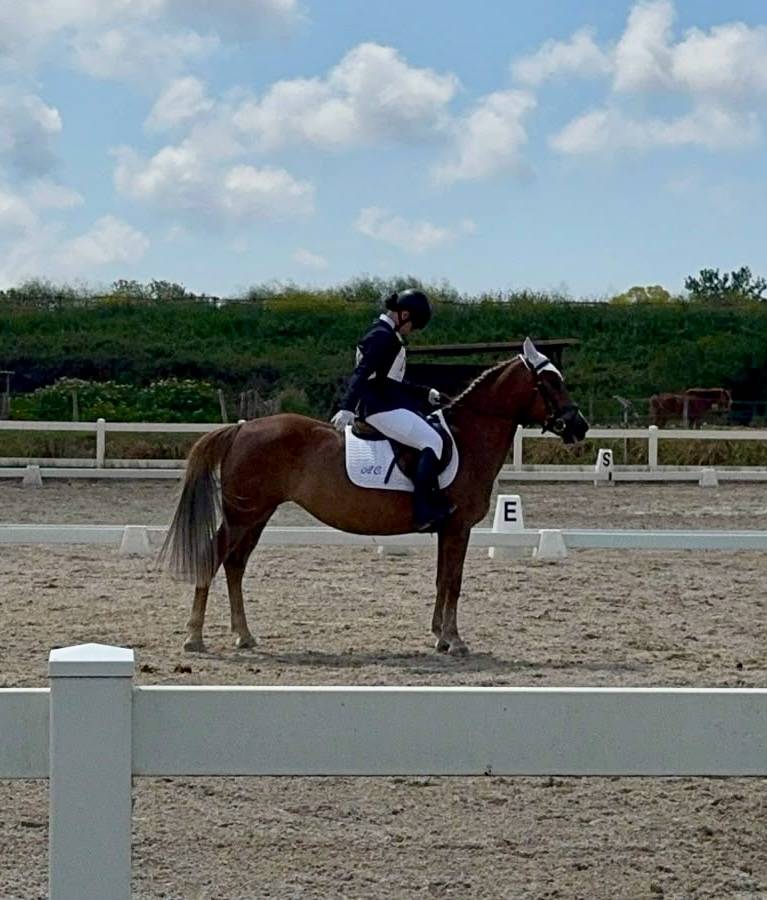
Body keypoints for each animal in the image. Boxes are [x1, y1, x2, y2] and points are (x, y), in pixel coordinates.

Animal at [161, 338, 589, 657]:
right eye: (551, 383)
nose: (579, 427)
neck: (468, 438)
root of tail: (241, 428)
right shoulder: (458, 527)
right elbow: (453, 582)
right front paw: (454, 641)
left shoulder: (446, 529)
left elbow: (441, 580)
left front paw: (439, 636)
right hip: (241, 515)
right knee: (215, 558)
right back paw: (194, 637)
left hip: (256, 515)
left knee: (235, 565)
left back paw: (244, 636)